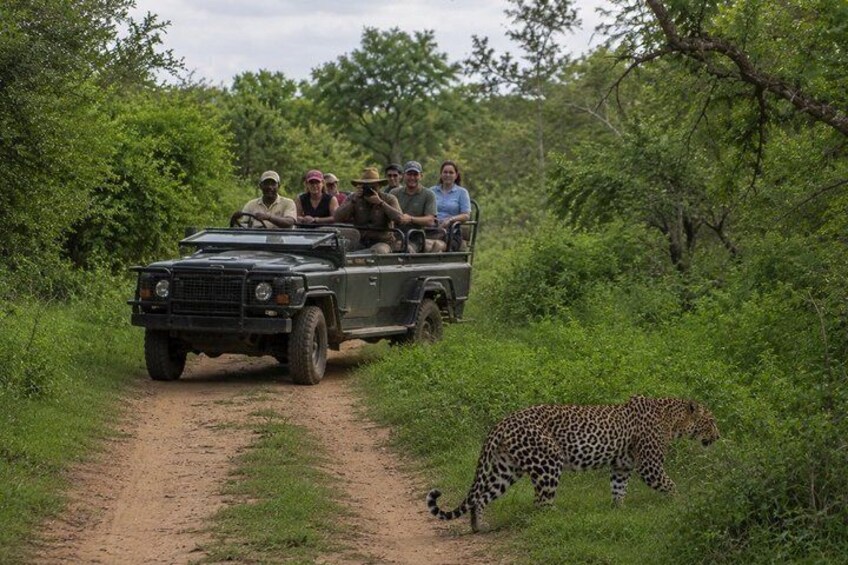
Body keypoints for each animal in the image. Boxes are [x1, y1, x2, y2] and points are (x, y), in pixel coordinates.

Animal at [427, 395, 719, 532]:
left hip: (506, 469)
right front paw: (683, 504)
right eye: (712, 421)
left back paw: (478, 527)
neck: (674, 421)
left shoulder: (622, 466)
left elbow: (618, 489)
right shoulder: (650, 465)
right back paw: (558, 518)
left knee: (480, 497)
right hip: (547, 462)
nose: (718, 436)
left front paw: (619, 511)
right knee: (541, 503)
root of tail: (502, 422)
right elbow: (670, 485)